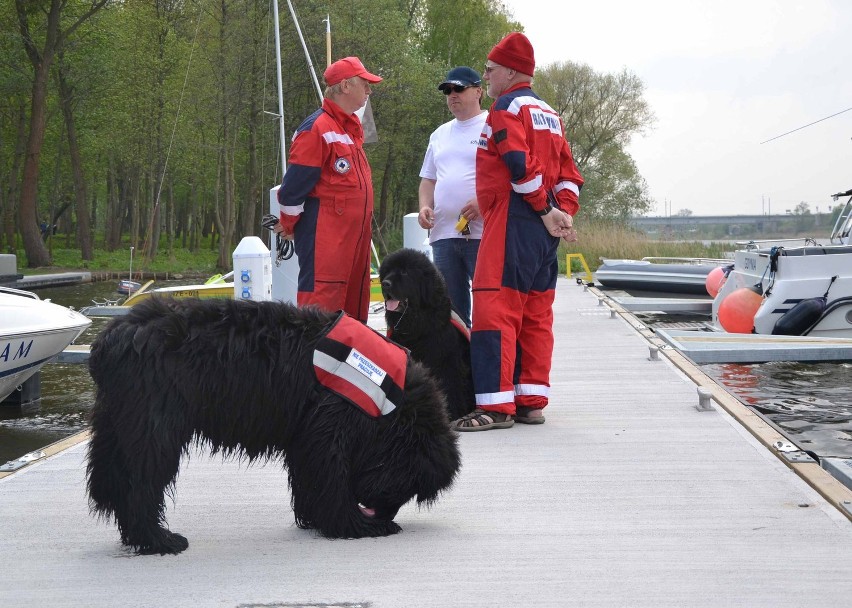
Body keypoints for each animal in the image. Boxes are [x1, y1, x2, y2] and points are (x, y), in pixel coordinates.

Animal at [86, 296, 460, 552]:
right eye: (407, 484)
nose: (383, 515)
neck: (390, 394)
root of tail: (112, 338)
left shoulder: (306, 433)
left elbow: (309, 478)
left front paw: (316, 519)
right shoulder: (330, 425)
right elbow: (332, 477)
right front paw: (354, 525)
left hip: (114, 423)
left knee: (117, 480)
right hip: (155, 426)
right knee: (141, 485)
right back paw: (158, 540)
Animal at [382, 248, 476, 422]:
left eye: (404, 272)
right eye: (387, 271)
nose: (385, 283)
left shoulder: (445, 360)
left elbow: (449, 384)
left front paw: (449, 412)